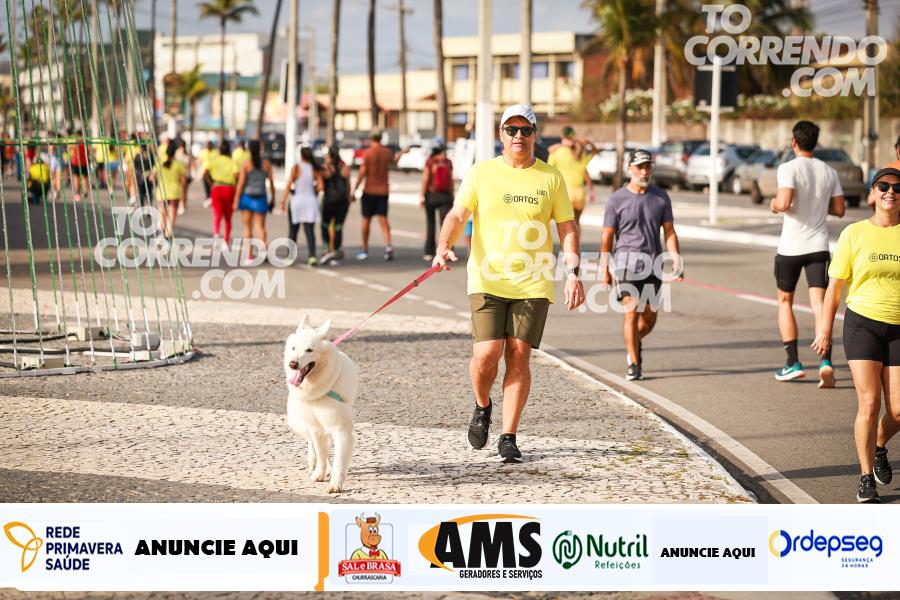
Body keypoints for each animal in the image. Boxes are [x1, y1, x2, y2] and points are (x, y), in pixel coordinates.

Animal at [284, 314, 359, 493]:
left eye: (309, 350)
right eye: (293, 348)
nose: (292, 364)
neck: (319, 389)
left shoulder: (340, 428)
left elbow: (338, 460)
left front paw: (335, 484)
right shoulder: (315, 427)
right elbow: (321, 453)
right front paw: (319, 473)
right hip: (300, 420)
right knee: (313, 444)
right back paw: (313, 461)